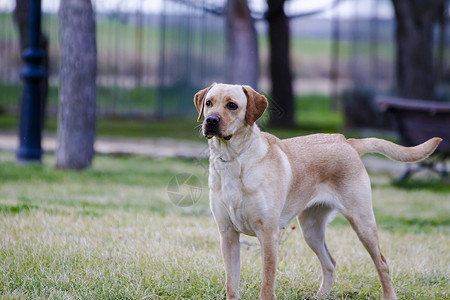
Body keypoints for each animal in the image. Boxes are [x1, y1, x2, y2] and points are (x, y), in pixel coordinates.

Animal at [192, 82, 440, 300]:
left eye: (232, 105)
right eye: (209, 103)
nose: (211, 120)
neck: (233, 160)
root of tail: (346, 141)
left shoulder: (268, 234)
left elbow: (267, 285)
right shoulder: (228, 235)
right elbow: (231, 285)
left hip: (363, 222)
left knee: (382, 263)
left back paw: (389, 295)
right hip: (311, 229)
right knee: (330, 262)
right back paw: (322, 295)